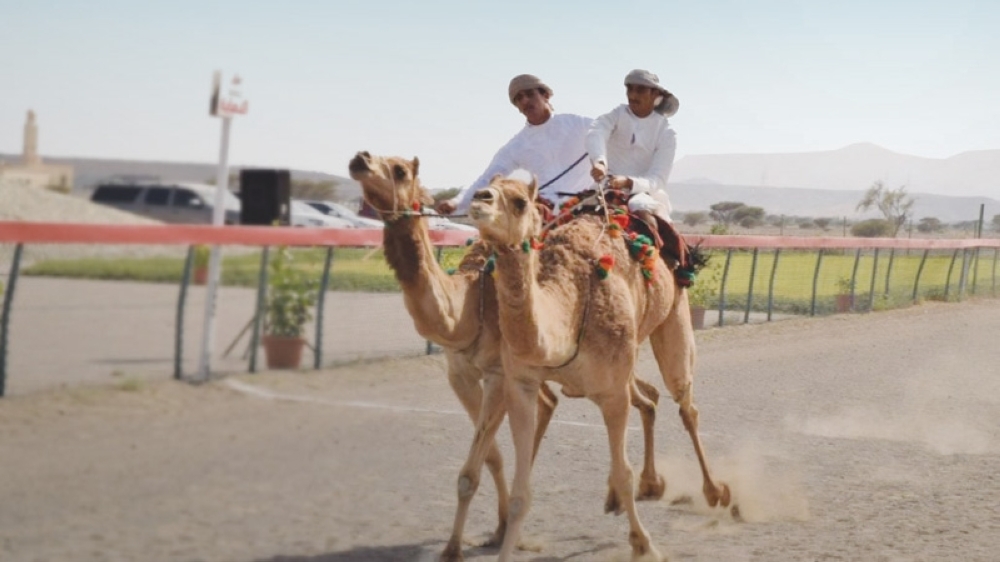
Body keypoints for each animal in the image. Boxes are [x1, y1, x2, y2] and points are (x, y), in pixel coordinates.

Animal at [347, 152, 666, 562]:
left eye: (400, 169)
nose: (360, 159)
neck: (466, 306)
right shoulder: (460, 373)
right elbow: (488, 460)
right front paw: (471, 540)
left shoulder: (498, 372)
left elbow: (483, 460)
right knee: (621, 398)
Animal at [468, 176, 732, 561]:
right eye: (490, 185)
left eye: (519, 201)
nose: (479, 198)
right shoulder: (521, 383)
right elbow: (520, 492)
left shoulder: (611, 390)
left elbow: (624, 472)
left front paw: (645, 545)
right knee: (649, 400)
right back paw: (641, 488)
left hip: (674, 317)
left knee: (685, 403)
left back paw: (715, 492)